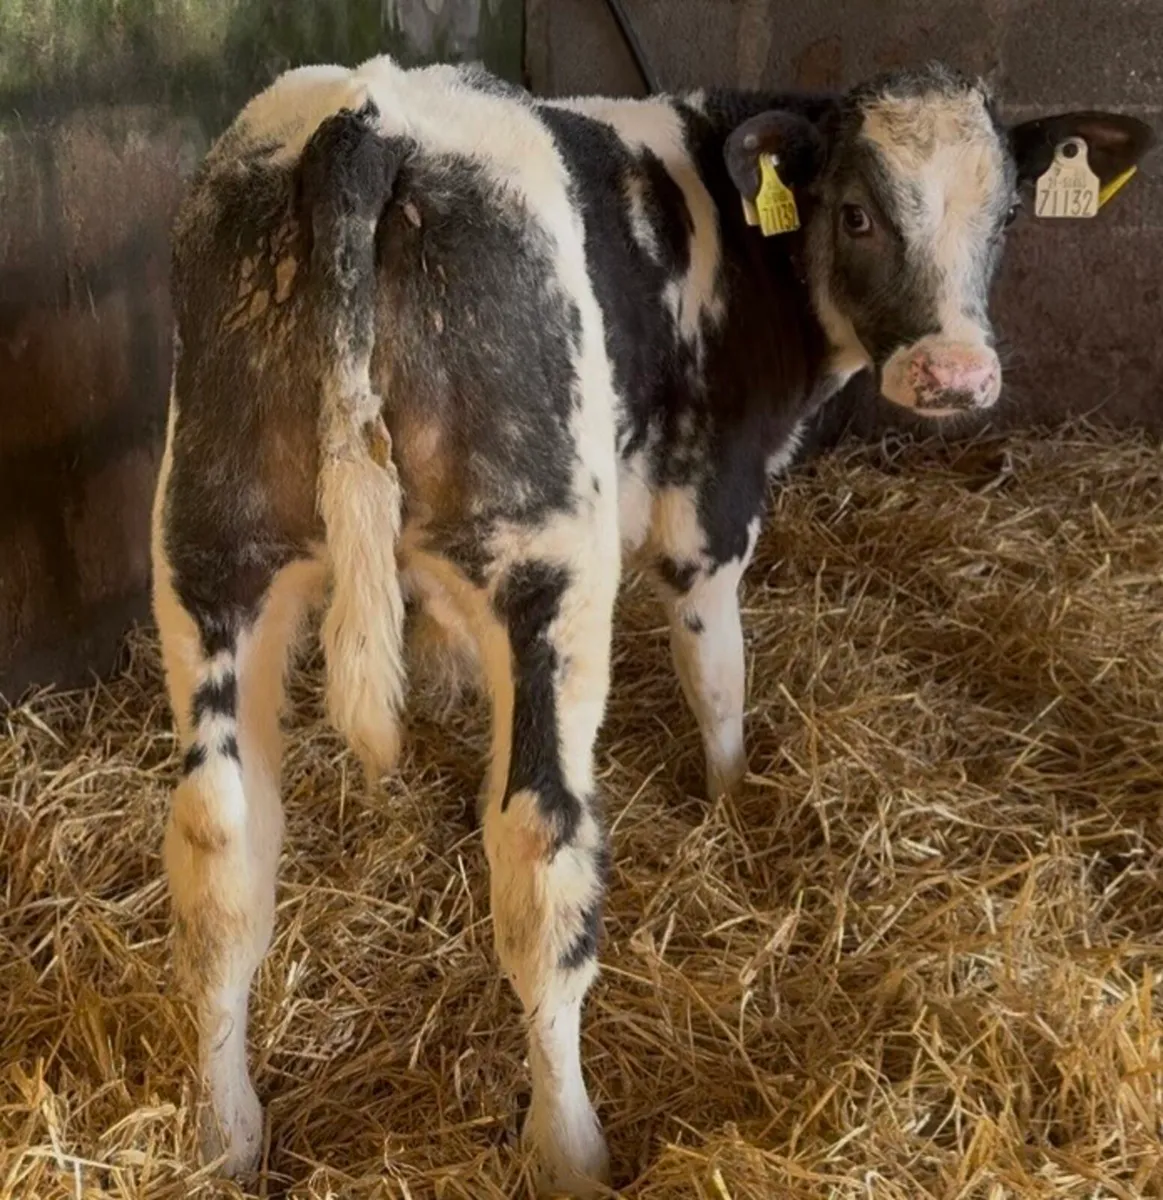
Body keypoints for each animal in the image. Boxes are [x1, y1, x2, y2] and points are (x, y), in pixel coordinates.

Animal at [152, 54, 1152, 1196]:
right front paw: (731, 805)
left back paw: (222, 1136)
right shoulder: (711, 506)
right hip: (545, 565)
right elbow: (715, 673)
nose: (954, 375)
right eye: (856, 212)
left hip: (209, 549)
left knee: (220, 845)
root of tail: (365, 118)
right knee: (540, 851)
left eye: (1006, 213)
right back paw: (571, 1146)